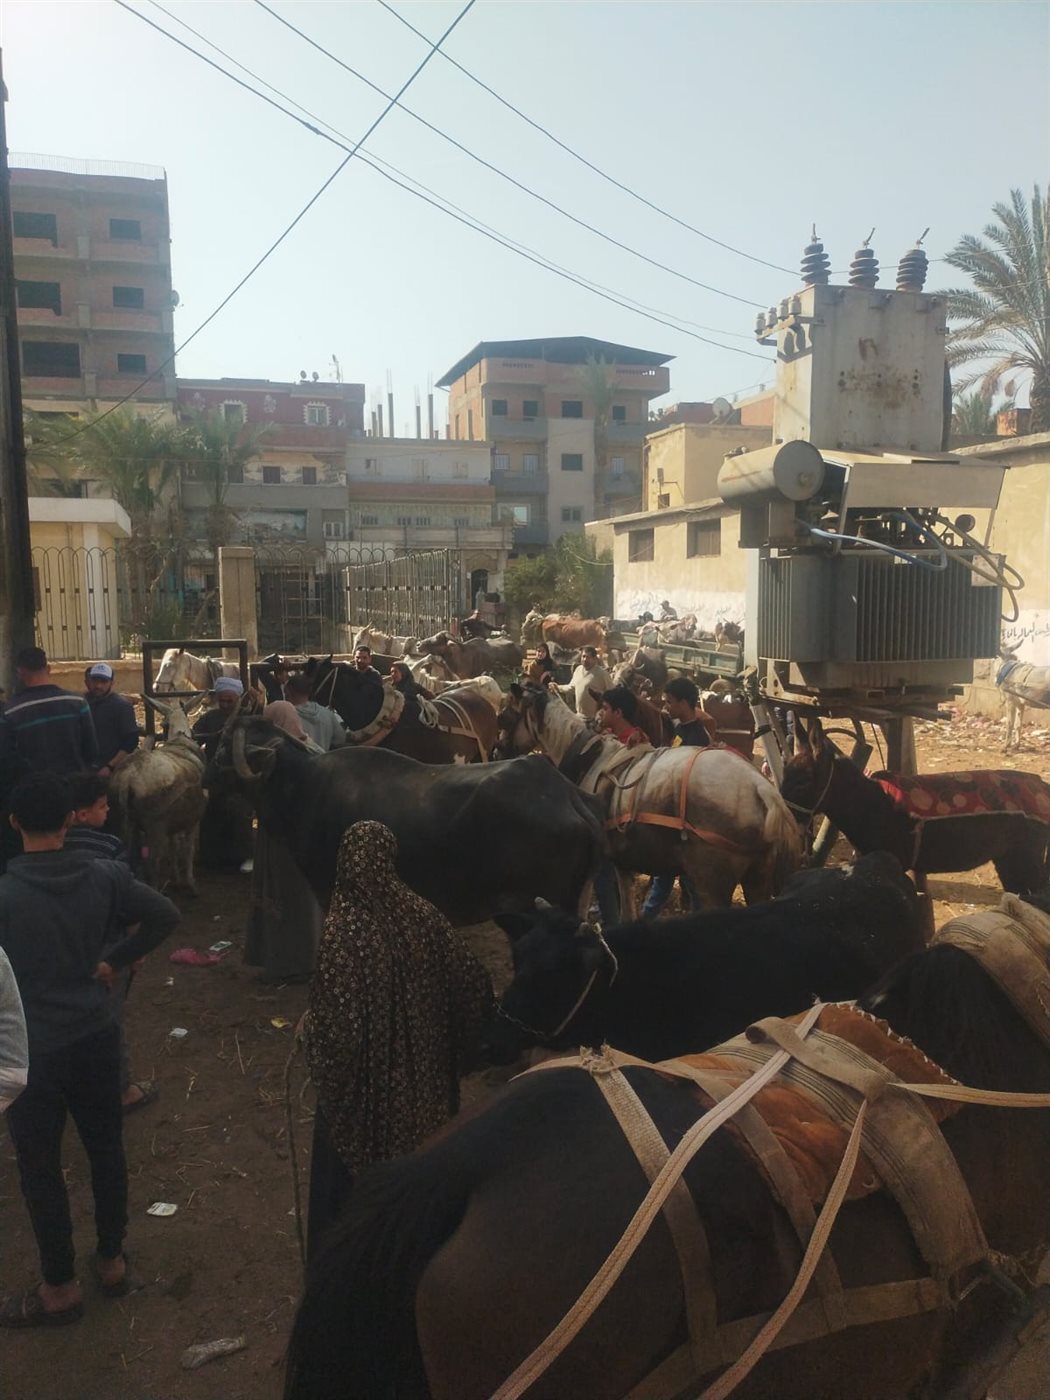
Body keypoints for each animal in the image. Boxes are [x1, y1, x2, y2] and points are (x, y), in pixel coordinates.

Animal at [107, 697, 207, 893]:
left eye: (163, 724)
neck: (179, 739)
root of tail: (127, 779)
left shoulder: (174, 821)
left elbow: (174, 847)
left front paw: (176, 878)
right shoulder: (194, 818)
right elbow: (188, 849)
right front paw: (190, 883)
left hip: (124, 819)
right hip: (155, 825)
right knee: (153, 862)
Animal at [498, 687, 800, 909]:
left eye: (506, 715)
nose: (499, 749)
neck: (589, 756)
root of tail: (762, 789)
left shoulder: (595, 866)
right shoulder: (622, 863)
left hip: (712, 884)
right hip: (757, 881)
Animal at [780, 716, 1050, 897]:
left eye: (803, 782)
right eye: (784, 774)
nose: (783, 814)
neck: (872, 804)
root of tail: (1041, 783)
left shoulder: (893, 863)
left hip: (1026, 857)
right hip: (1009, 858)